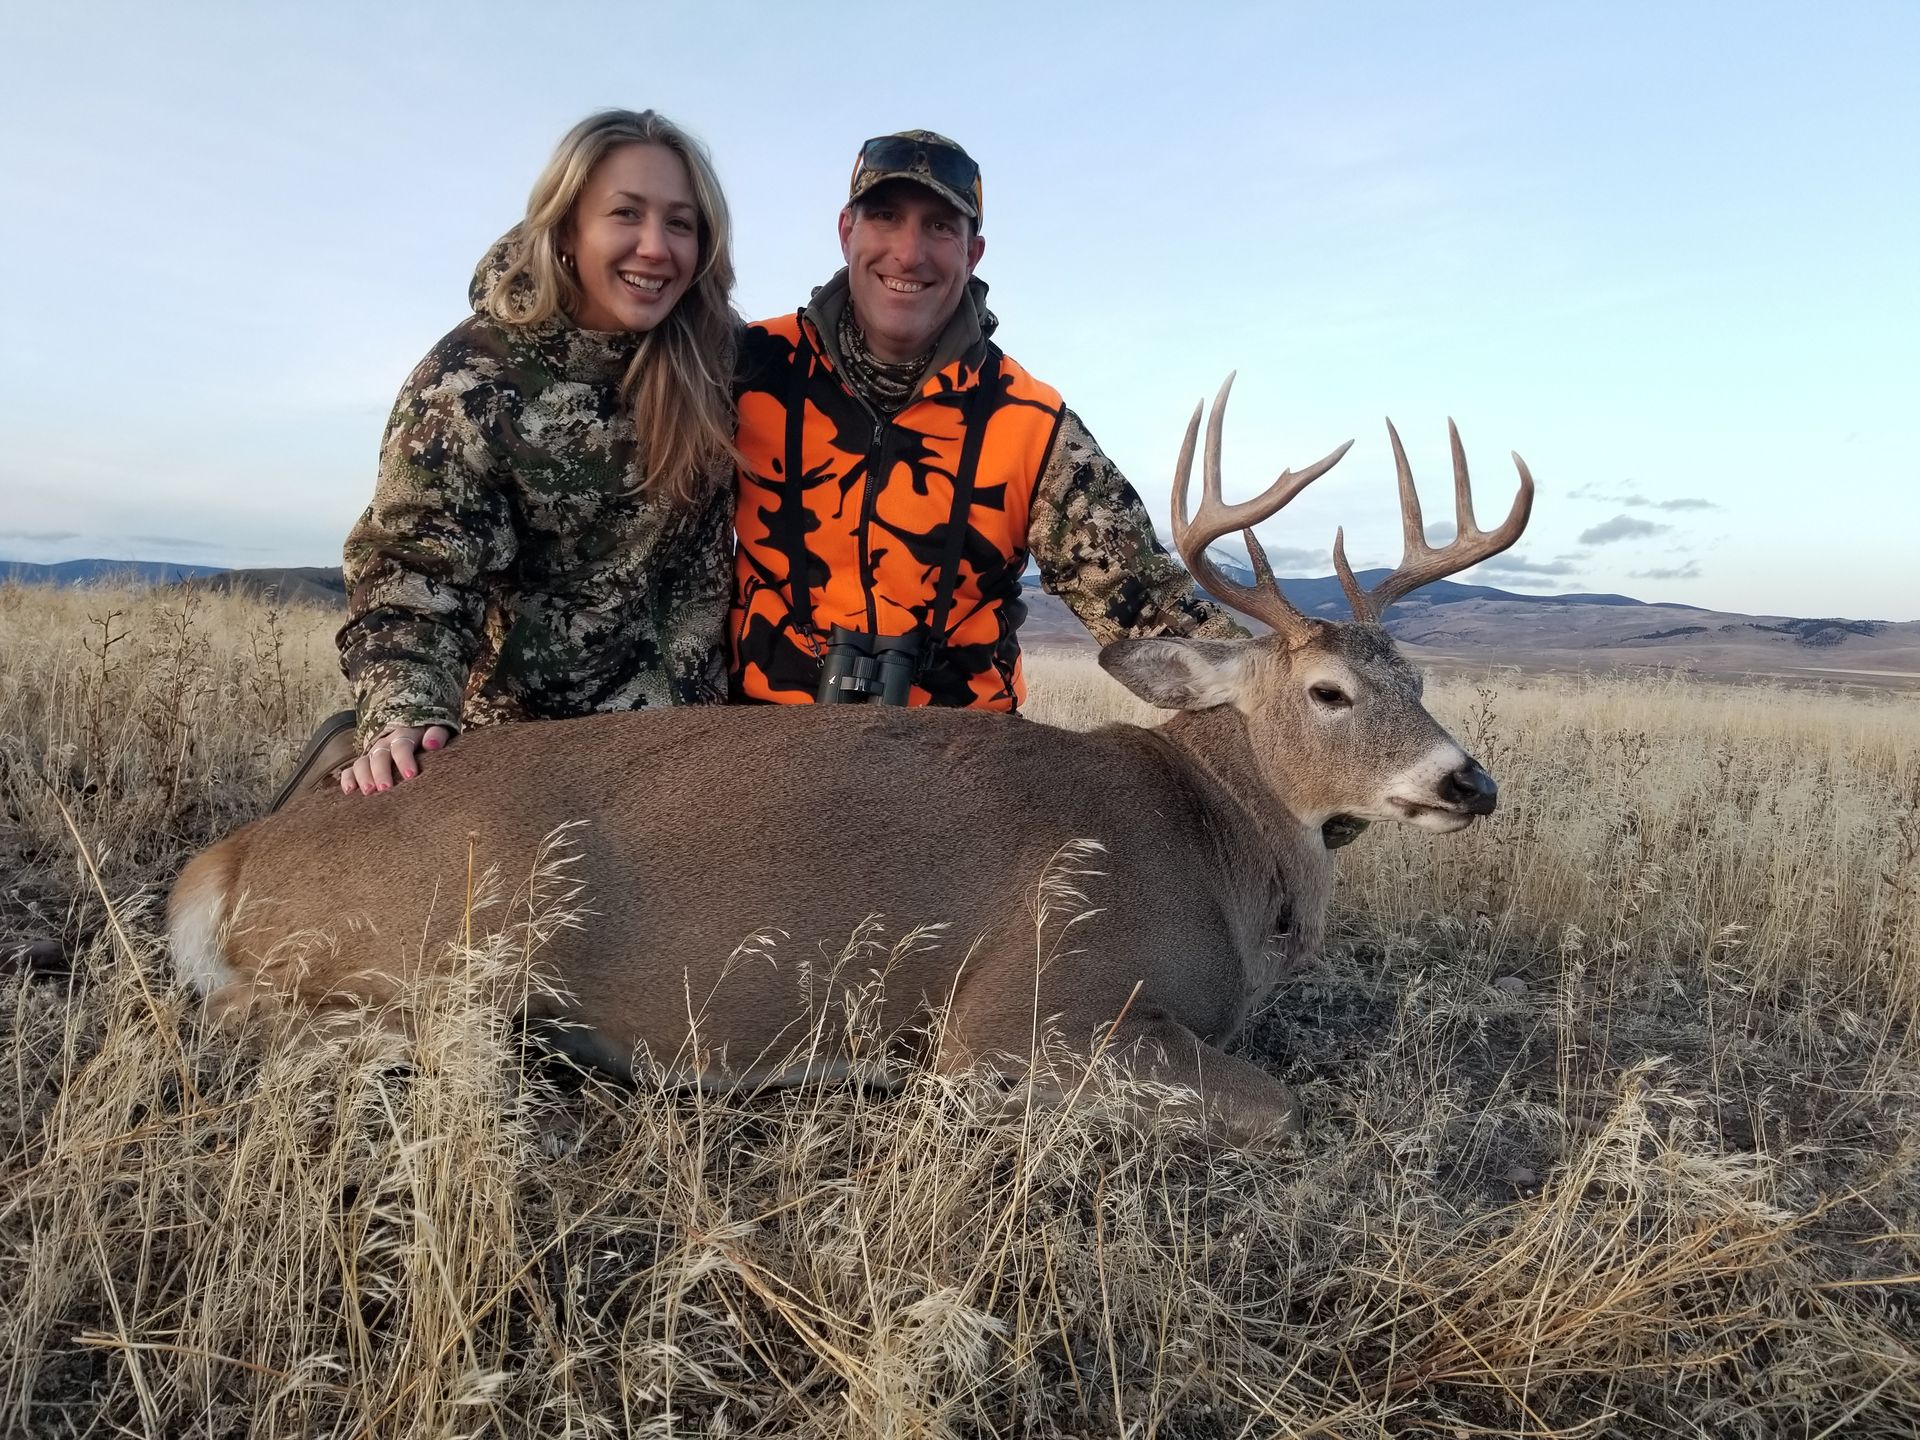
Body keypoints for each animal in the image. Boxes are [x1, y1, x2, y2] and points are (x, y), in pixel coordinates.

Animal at [167, 376, 1533, 1145]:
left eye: (1421, 680)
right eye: (1328, 691)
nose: (1469, 782)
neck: (1214, 844)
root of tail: (235, 856)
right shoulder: (1035, 1002)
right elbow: (1274, 1105)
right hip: (449, 939)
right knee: (244, 1023)